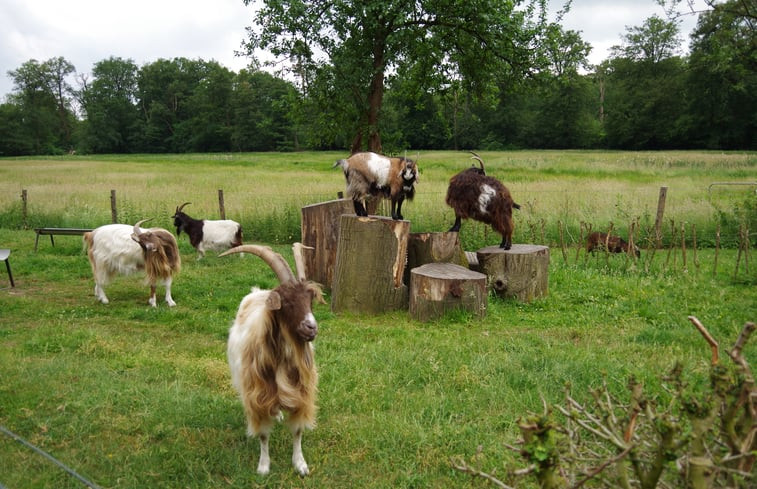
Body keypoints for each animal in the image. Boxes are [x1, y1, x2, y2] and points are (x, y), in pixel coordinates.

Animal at [220, 243, 324, 472]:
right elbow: (264, 436)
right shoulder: (258, 397)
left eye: (309, 300)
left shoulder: (301, 395)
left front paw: (300, 464)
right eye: (286, 302)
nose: (311, 327)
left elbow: (297, 432)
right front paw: (263, 466)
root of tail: (257, 292)